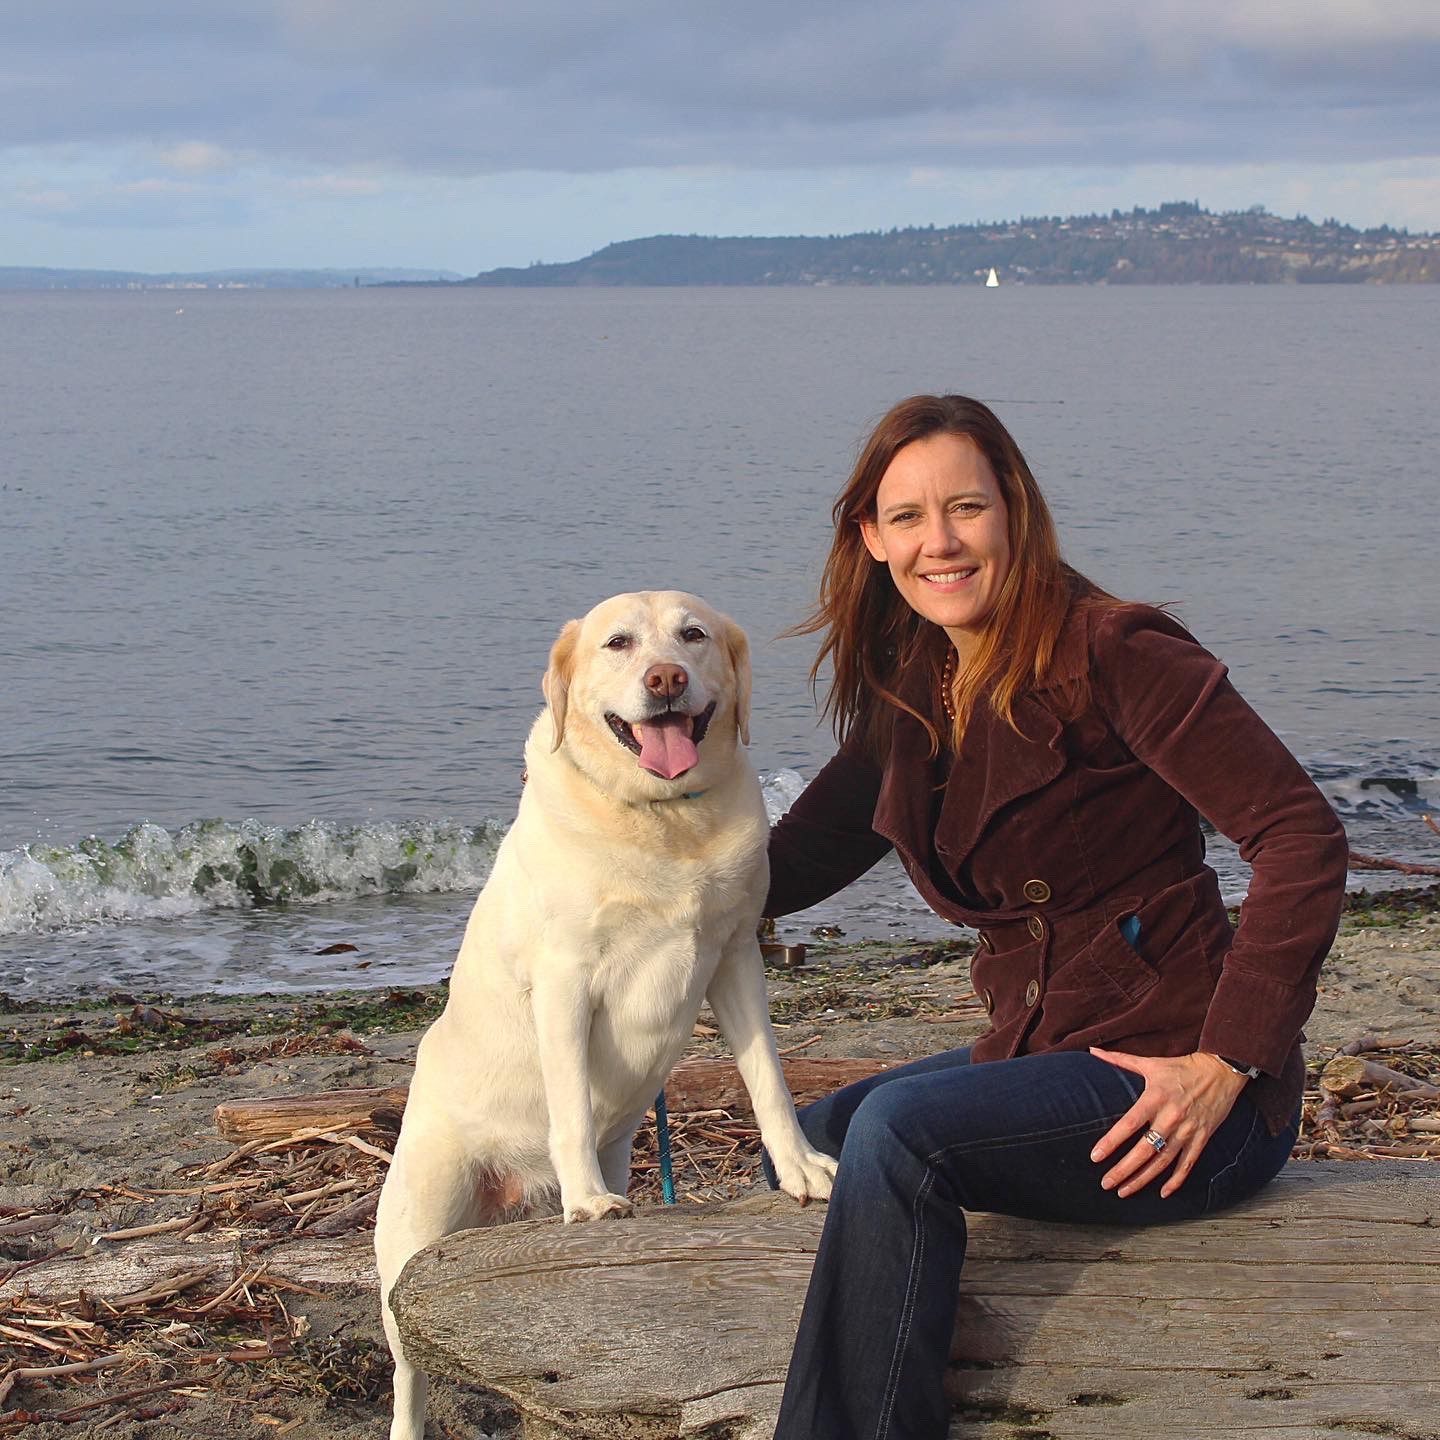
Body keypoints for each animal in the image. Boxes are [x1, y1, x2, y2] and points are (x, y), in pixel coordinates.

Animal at [374, 587, 835, 1440]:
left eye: (693, 635)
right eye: (617, 643)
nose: (665, 678)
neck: (662, 819)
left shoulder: (735, 959)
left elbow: (768, 1079)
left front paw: (801, 1169)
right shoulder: (565, 980)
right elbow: (568, 1108)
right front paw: (587, 1200)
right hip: (418, 1230)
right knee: (408, 1370)